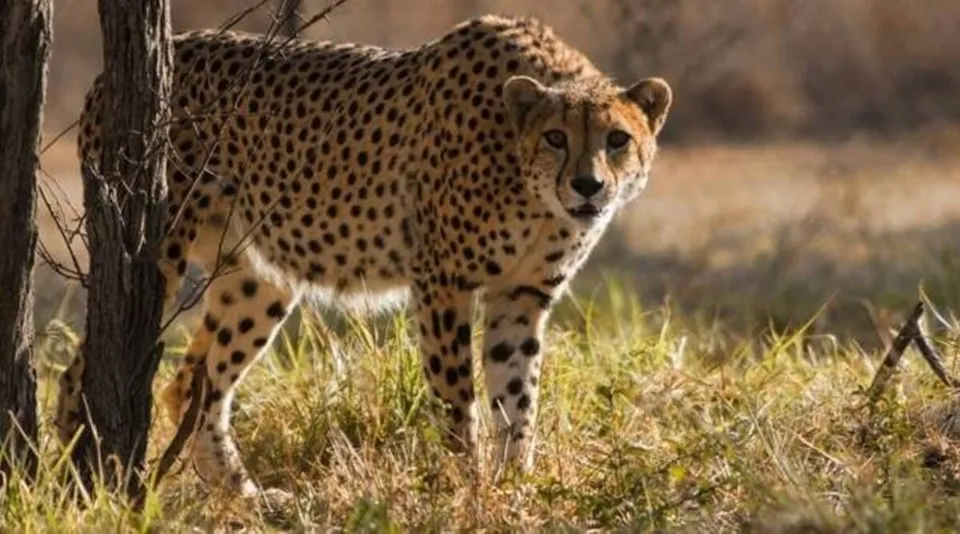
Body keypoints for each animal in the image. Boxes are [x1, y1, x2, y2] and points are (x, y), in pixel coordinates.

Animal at [56, 13, 672, 498]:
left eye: (617, 139)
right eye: (556, 138)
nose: (589, 186)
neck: (531, 187)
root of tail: (104, 80)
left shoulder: (521, 295)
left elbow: (517, 400)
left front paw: (516, 486)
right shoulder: (443, 283)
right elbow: (458, 404)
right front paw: (469, 488)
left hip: (259, 279)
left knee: (192, 384)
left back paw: (246, 498)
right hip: (159, 254)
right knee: (82, 368)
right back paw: (74, 483)